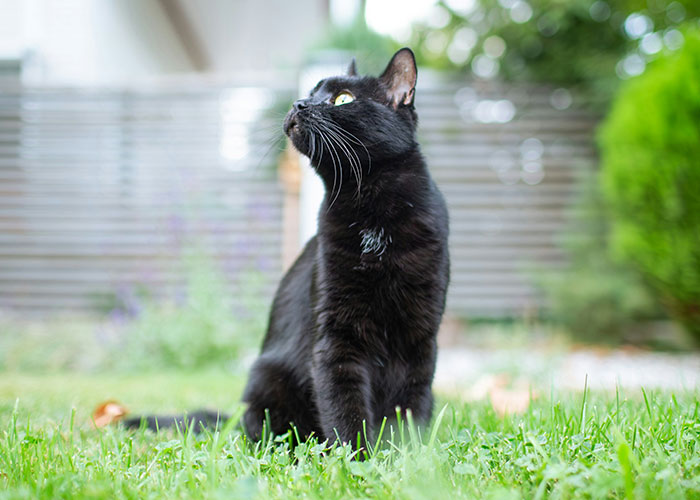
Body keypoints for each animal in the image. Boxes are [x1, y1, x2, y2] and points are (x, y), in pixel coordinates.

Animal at [239, 48, 448, 452]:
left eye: (342, 99)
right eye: (311, 91)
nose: (299, 103)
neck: (370, 207)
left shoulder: (421, 336)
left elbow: (410, 407)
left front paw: (408, 457)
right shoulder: (336, 338)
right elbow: (344, 405)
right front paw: (358, 458)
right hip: (267, 382)